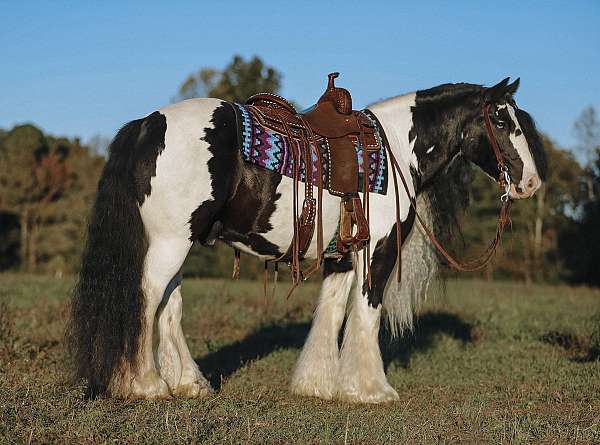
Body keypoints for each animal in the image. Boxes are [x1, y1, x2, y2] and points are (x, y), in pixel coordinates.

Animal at [68, 75, 548, 402]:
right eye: (502, 119)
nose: (531, 183)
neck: (396, 148)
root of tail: (150, 123)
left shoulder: (342, 257)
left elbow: (331, 313)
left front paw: (318, 384)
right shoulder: (378, 252)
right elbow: (367, 314)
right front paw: (371, 389)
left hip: (177, 243)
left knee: (170, 303)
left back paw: (189, 383)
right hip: (169, 242)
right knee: (147, 297)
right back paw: (144, 384)